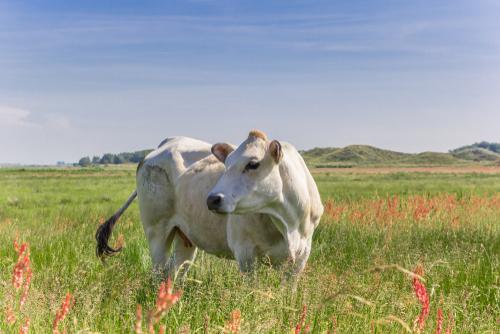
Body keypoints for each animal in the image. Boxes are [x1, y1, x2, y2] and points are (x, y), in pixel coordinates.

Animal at [96, 130, 324, 276]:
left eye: (253, 164)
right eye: (227, 163)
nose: (212, 199)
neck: (287, 223)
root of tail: (165, 144)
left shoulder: (301, 256)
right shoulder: (245, 254)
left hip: (184, 238)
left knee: (174, 272)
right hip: (156, 232)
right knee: (158, 273)